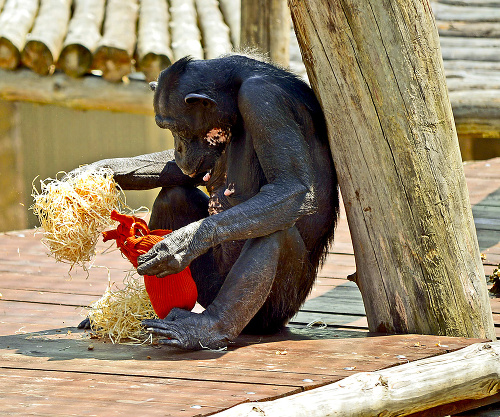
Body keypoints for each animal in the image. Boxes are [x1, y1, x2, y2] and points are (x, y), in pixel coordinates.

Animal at [81, 54, 340, 348]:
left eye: (175, 127)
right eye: (166, 129)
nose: (178, 148)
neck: (235, 91)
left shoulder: (264, 100)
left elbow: (291, 187)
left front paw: (178, 245)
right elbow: (180, 172)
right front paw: (98, 171)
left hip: (275, 312)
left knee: (276, 228)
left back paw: (206, 328)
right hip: (207, 287)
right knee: (174, 196)